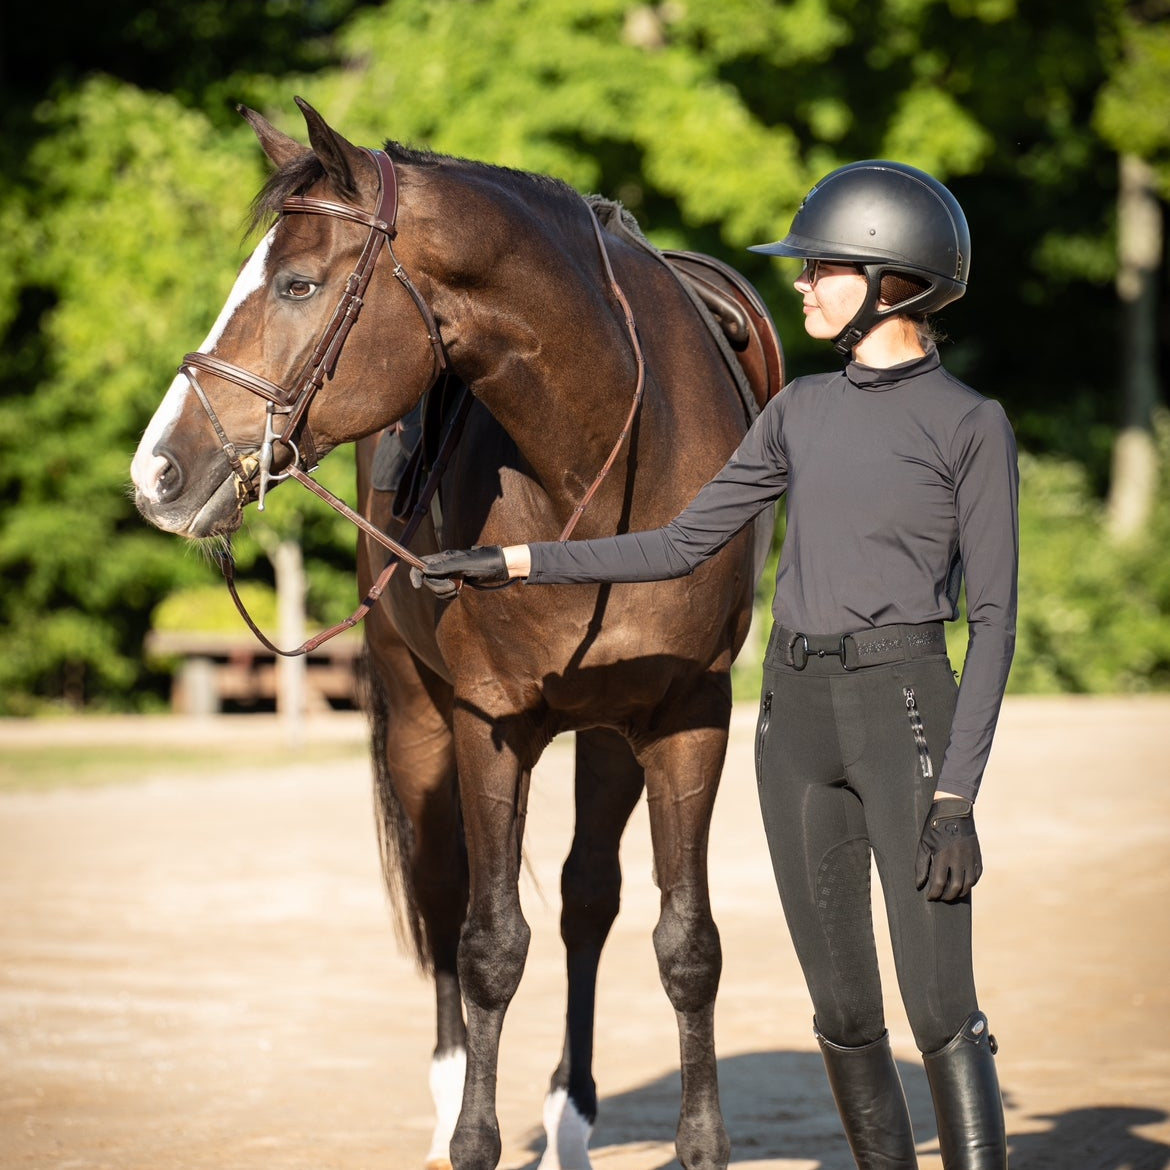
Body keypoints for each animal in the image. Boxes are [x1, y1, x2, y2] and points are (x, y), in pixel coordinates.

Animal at [128, 100, 781, 1170]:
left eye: (299, 284)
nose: (156, 472)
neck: (604, 460)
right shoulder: (489, 723)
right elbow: (487, 946)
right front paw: (474, 1137)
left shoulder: (690, 714)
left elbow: (687, 943)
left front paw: (699, 1144)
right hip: (418, 721)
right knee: (445, 899)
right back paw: (447, 1112)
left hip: (606, 735)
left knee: (587, 901)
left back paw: (571, 1118)